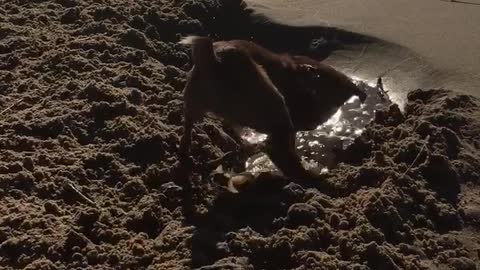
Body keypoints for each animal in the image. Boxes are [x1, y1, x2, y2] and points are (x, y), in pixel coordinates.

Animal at [178, 35, 366, 179]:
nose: (312, 123)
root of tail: (216, 58)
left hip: (194, 100)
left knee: (190, 127)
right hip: (273, 107)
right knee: (277, 150)